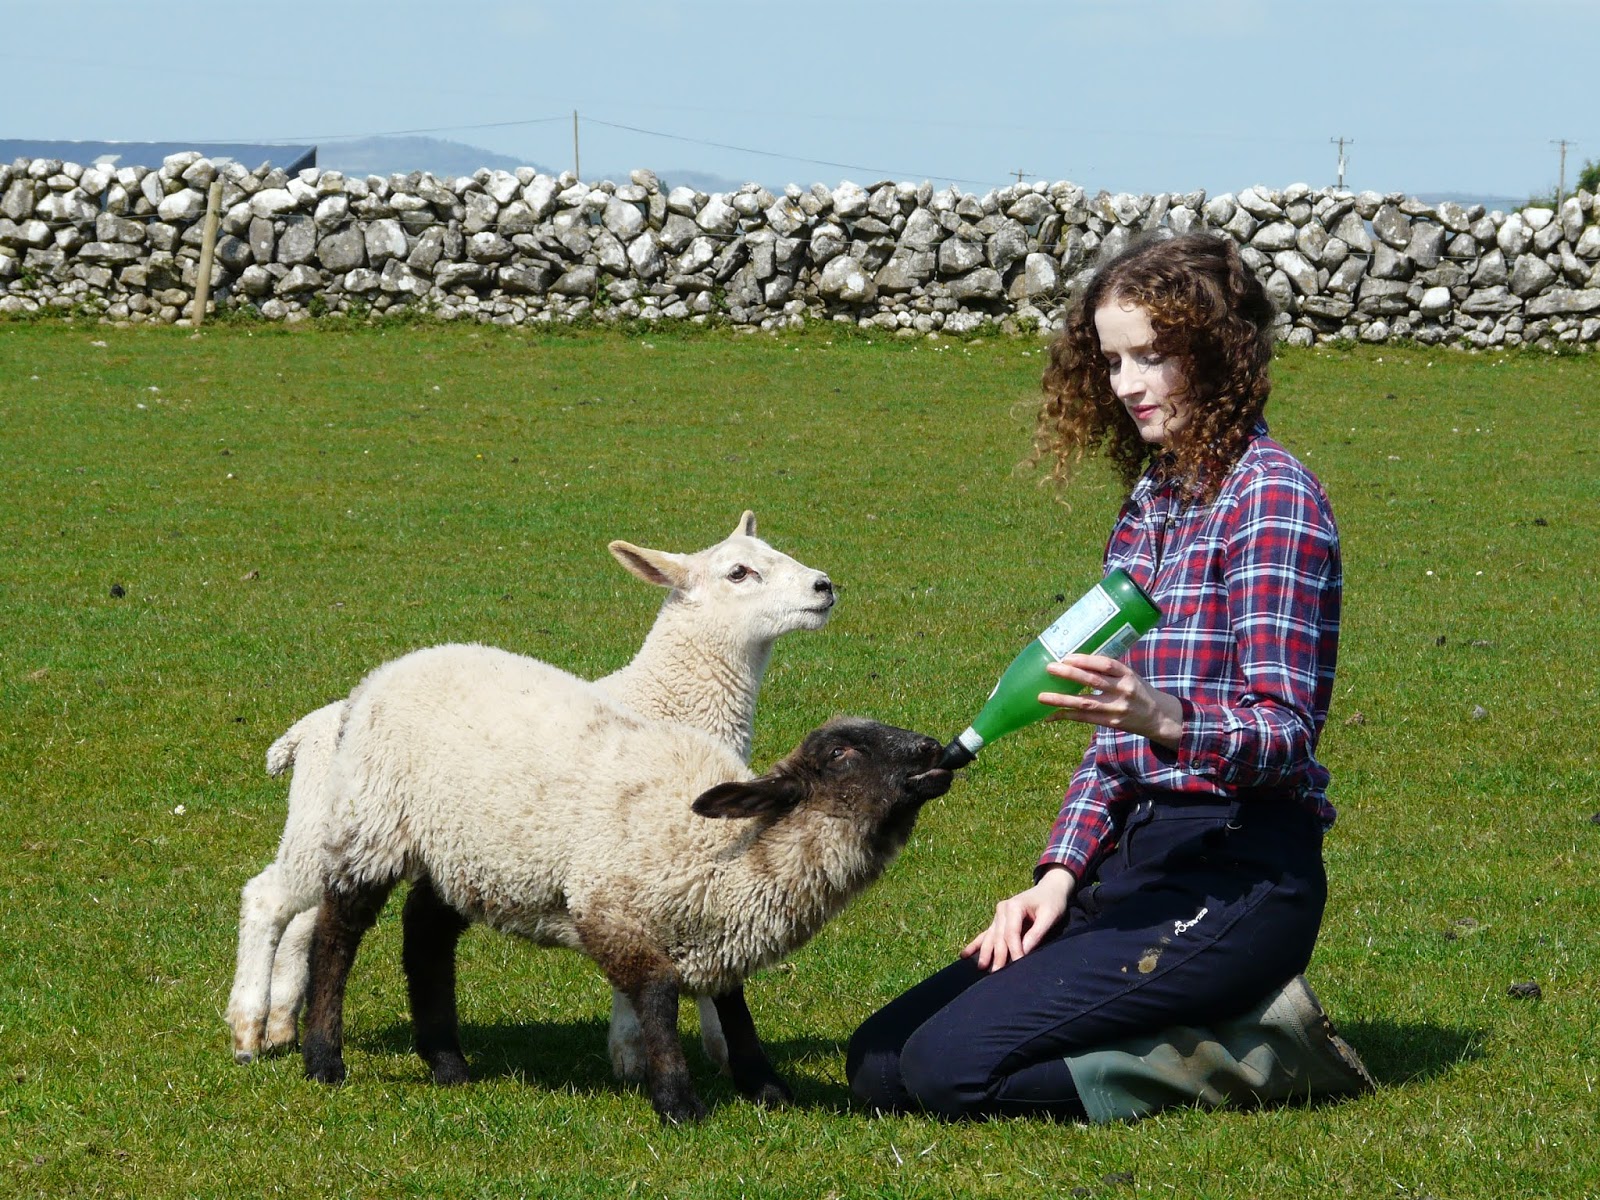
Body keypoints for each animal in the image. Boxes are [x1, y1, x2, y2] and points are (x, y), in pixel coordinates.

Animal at [224, 512, 835, 1066]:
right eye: (739, 572)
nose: (825, 587)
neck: (664, 697)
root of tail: (309, 728)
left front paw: (718, 1048)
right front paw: (633, 1056)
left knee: (303, 919)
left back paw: (282, 1025)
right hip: (343, 820)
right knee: (268, 900)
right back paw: (249, 1028)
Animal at [299, 640, 953, 1123]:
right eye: (841, 753)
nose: (932, 750)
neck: (725, 850)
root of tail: (384, 674)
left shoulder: (717, 923)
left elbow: (732, 1001)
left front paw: (765, 1086)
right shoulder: (606, 909)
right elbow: (658, 994)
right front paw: (679, 1102)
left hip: (462, 855)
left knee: (425, 936)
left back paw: (447, 1064)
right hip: (373, 820)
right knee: (337, 935)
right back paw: (324, 1059)